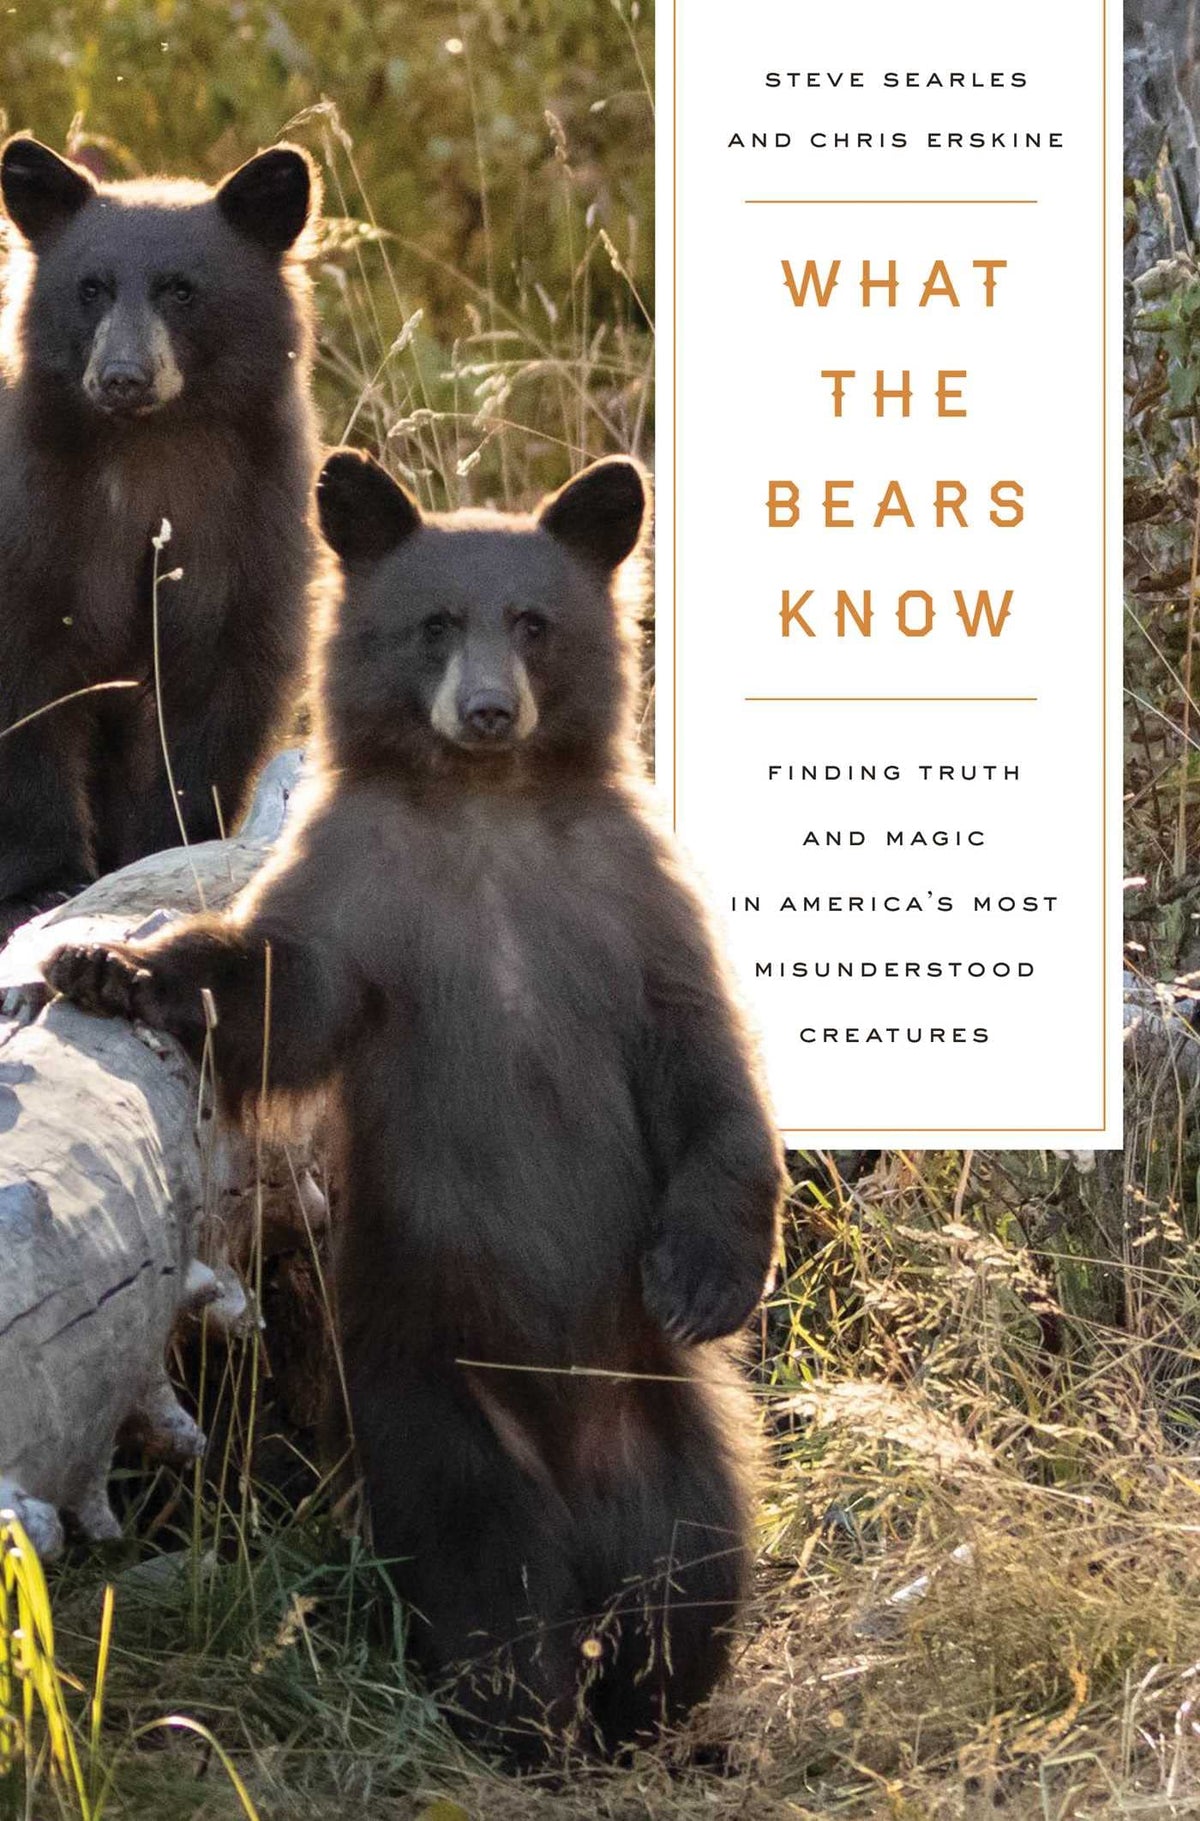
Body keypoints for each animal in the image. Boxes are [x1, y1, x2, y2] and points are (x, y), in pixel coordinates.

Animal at [0, 135, 321, 938]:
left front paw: (164, 850)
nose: (122, 376)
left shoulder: (245, 528)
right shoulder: (38, 525)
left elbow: (218, 691)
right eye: (90, 288)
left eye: (181, 290)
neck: (151, 449)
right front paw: (42, 883)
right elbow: (27, 689)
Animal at [43, 449, 785, 1765]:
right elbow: (275, 991)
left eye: (533, 623)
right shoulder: (363, 899)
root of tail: (582, 1491)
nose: (488, 712)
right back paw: (524, 1722)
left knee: (692, 1578)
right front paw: (108, 964)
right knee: (489, 1582)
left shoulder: (630, 904)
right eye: (435, 623)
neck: (485, 817)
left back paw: (650, 1712)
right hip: (434, 1408)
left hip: (673, 1432)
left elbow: (709, 1067)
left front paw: (705, 1275)